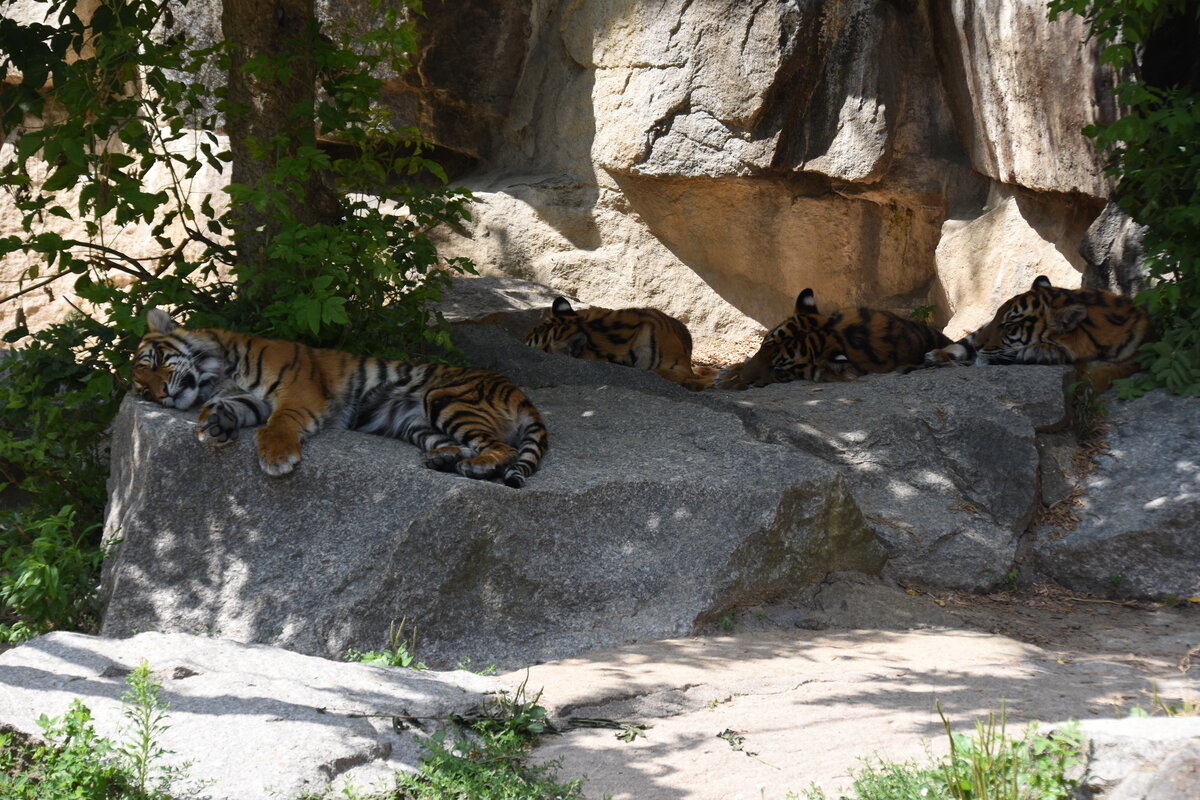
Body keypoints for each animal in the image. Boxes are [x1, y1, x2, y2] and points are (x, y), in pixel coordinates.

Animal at [131, 309, 549, 489]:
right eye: (143, 389)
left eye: (155, 363)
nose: (162, 394)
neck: (217, 374)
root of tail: (517, 390)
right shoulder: (251, 399)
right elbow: (232, 408)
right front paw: (213, 425)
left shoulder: (298, 393)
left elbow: (279, 423)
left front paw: (276, 458)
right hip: (413, 421)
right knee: (457, 444)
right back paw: (442, 459)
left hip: (445, 396)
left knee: (502, 448)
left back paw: (477, 467)